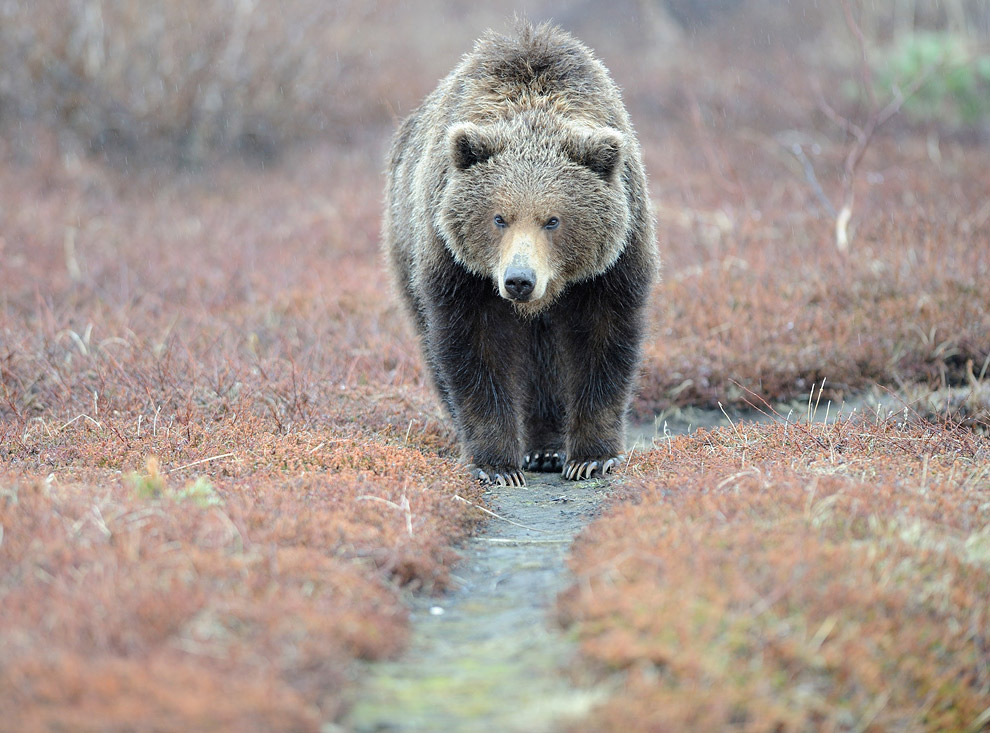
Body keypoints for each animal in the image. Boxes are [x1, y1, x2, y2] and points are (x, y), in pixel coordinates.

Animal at [386, 21, 660, 486]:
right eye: (500, 217)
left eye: (553, 220)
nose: (519, 280)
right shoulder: (459, 270)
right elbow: (474, 352)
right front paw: (497, 464)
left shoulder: (612, 265)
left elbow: (603, 344)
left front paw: (591, 457)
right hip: (405, 247)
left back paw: (547, 448)